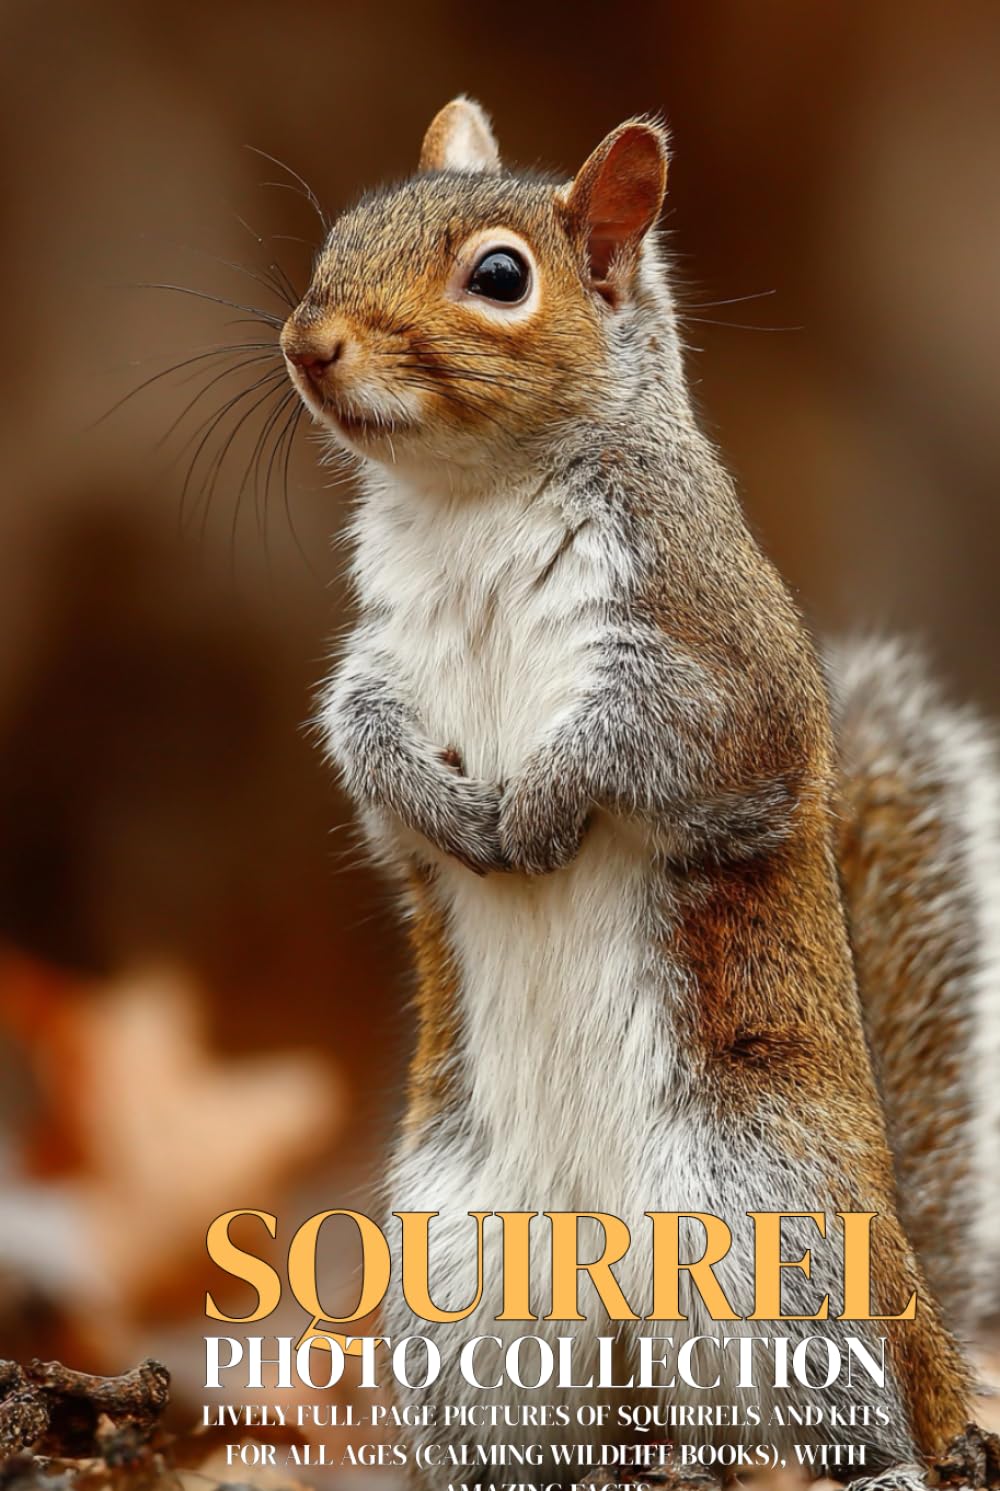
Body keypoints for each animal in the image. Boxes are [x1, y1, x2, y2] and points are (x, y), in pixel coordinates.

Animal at [279, 98, 1000, 1489]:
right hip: (469, 1273)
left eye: (500, 277)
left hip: (770, 1231)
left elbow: (661, 743)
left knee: (852, 1405)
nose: (305, 343)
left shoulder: (719, 661)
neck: (471, 502)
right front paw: (454, 816)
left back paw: (885, 1458)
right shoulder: (378, 661)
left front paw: (541, 805)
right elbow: (367, 752)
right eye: (339, 236)